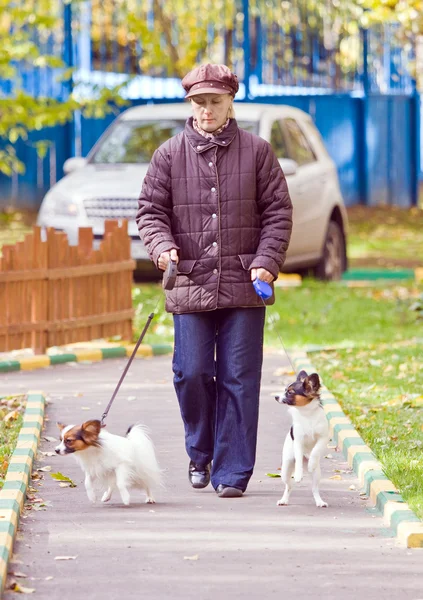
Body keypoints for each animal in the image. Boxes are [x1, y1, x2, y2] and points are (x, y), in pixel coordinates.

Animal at [274, 370, 332, 506]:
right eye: (285, 390)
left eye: (290, 392)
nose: (276, 397)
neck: (307, 414)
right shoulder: (298, 441)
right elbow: (299, 458)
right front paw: (298, 475)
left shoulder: (323, 438)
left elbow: (316, 450)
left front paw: (311, 463)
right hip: (286, 468)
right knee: (289, 486)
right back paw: (284, 500)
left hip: (317, 474)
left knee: (314, 489)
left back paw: (320, 501)